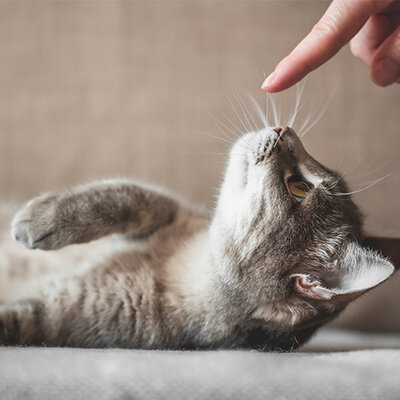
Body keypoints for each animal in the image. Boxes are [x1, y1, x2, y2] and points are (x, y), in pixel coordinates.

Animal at [0, 126, 396, 350]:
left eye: (298, 188)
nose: (286, 128)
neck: (183, 267)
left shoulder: (55, 317)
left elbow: (13, 322)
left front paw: (30, 224)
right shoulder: (170, 210)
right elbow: (124, 197)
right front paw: (42, 217)